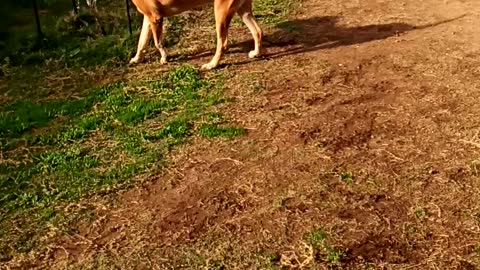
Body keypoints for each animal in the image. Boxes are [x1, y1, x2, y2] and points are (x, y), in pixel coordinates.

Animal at [128, 0, 262, 69]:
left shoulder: (155, 18)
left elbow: (157, 43)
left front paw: (164, 58)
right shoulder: (148, 17)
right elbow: (141, 43)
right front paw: (137, 59)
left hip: (221, 12)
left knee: (223, 45)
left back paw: (212, 65)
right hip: (243, 11)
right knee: (258, 31)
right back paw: (256, 53)